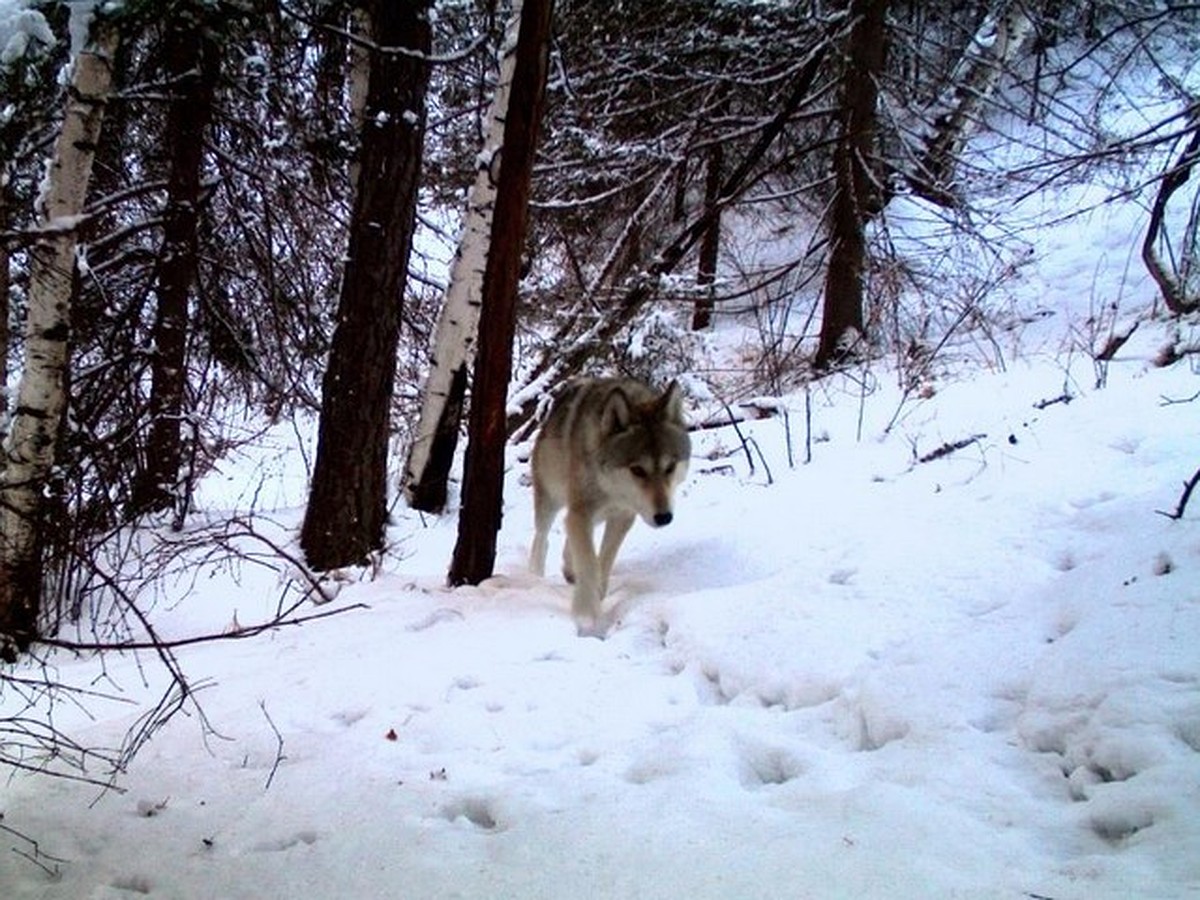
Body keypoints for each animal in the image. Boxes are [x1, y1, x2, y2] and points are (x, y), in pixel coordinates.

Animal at [528, 376, 691, 638]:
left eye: (670, 467)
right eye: (637, 470)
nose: (664, 517)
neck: (613, 491)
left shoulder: (622, 518)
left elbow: (603, 560)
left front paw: (599, 593)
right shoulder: (582, 512)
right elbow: (589, 562)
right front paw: (587, 616)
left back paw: (569, 570)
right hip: (550, 500)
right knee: (542, 538)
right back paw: (534, 576)